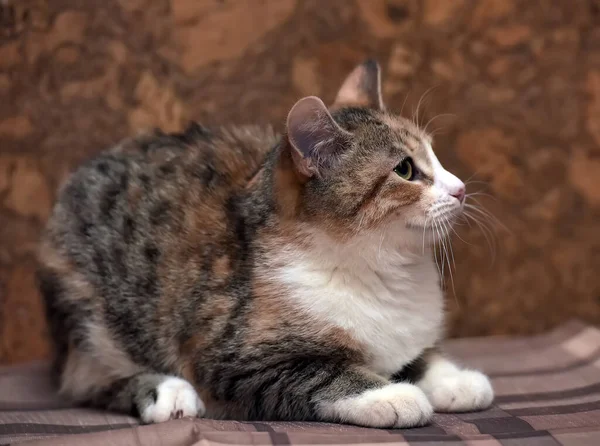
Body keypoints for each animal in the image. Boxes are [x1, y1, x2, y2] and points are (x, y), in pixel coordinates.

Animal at [38, 60, 492, 428]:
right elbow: (322, 372)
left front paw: (452, 379)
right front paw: (390, 394)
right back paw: (166, 393)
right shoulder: (234, 360)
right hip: (86, 313)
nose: (460, 189)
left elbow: (416, 356)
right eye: (405, 169)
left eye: (434, 155)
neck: (378, 268)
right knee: (89, 381)